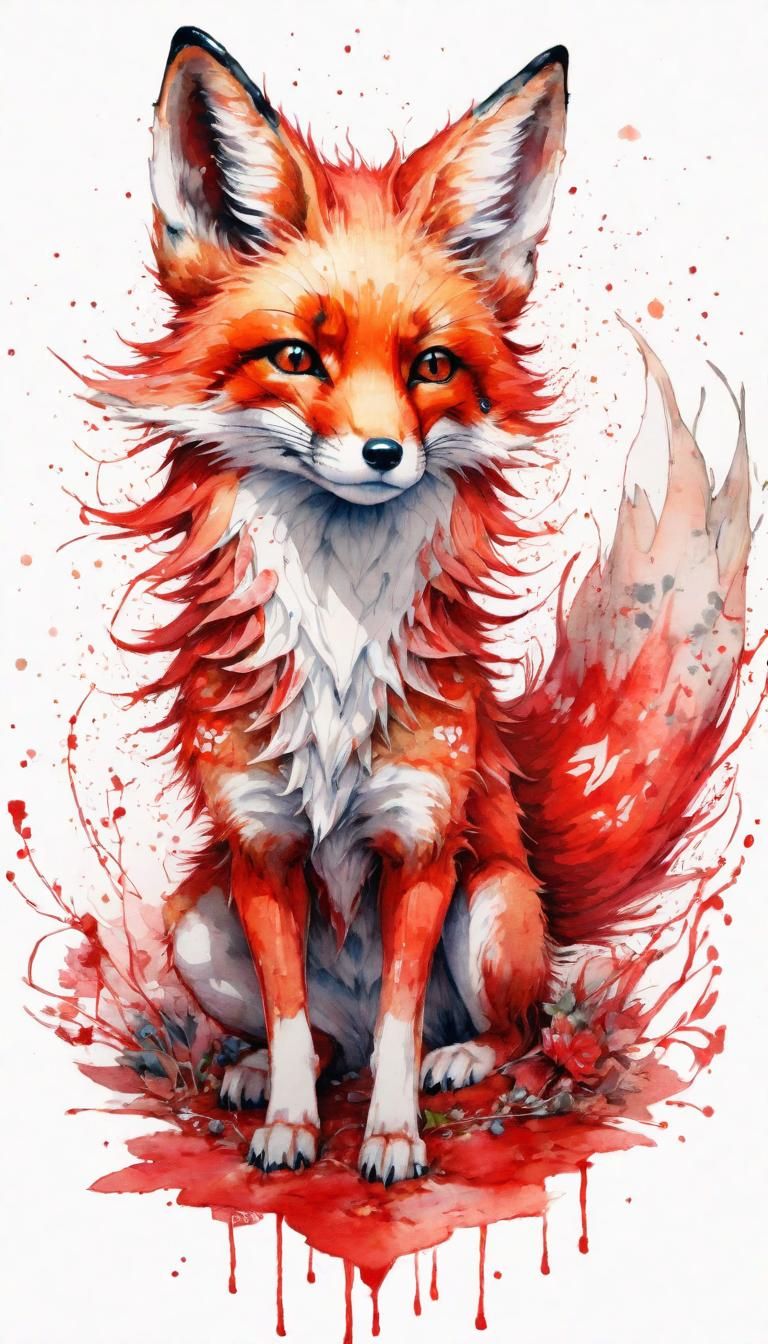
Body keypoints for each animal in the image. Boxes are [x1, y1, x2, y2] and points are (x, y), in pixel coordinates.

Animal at [85, 27, 749, 1185]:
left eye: (432, 364)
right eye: (297, 357)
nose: (384, 454)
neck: (340, 637)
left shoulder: (424, 846)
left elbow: (398, 1021)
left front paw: (393, 1141)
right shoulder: (260, 850)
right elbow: (296, 1022)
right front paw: (291, 1127)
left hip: (496, 911)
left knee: (506, 1027)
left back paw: (464, 1060)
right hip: (198, 923)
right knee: (323, 1036)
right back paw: (259, 1072)